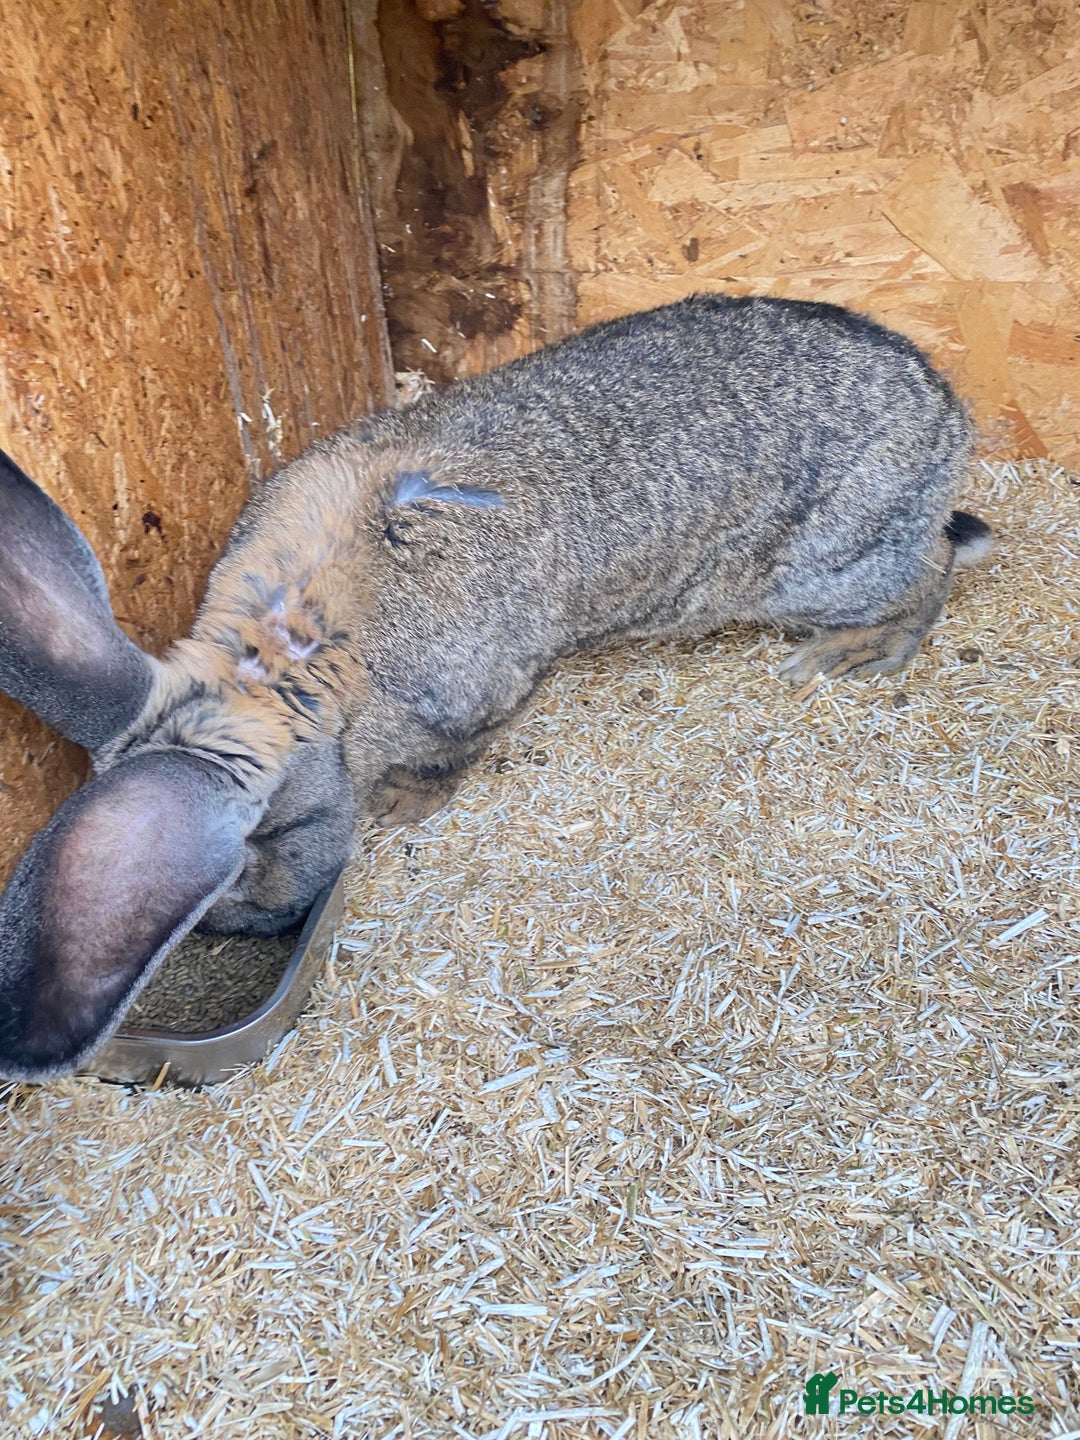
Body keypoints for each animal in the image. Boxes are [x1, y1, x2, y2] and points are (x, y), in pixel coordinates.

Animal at [0, 293, 991, 1080]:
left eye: (239, 876)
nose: (259, 927)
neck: (295, 669)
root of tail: (950, 419)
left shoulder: (475, 698)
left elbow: (456, 754)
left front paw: (401, 805)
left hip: (832, 567)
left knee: (930, 575)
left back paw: (853, 654)